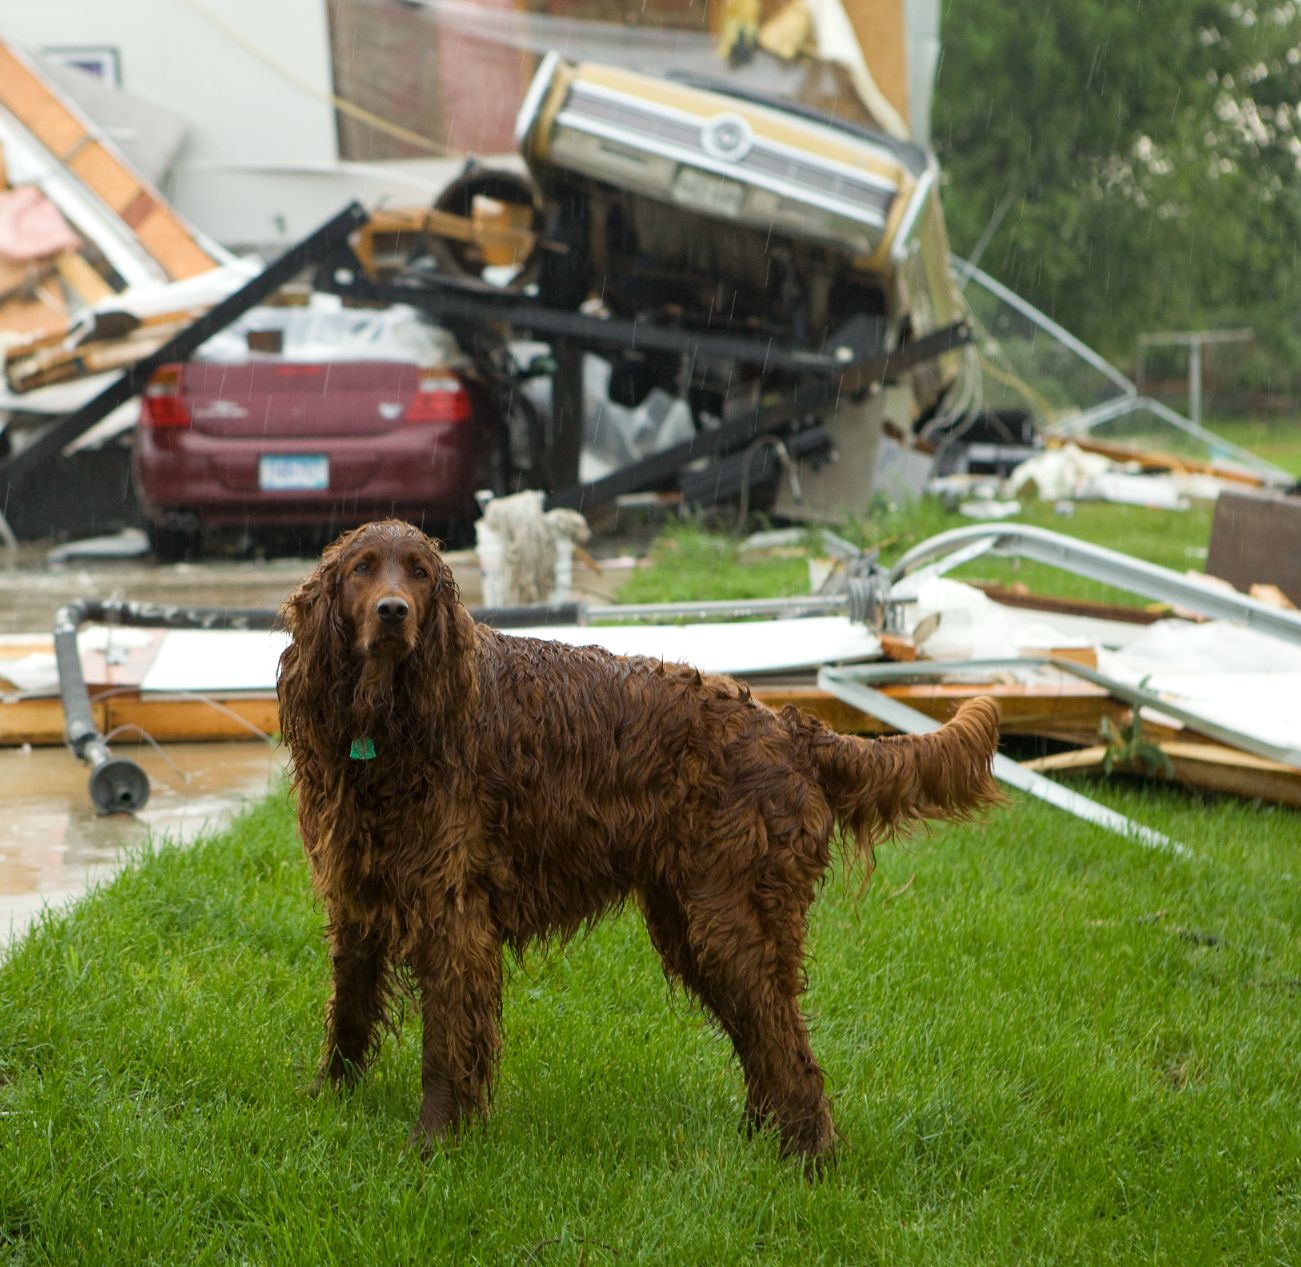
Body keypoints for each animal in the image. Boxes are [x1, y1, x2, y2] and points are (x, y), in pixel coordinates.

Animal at [279, 520, 999, 1165]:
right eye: (362, 569)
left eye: (420, 573)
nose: (393, 611)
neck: (388, 732)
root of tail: (789, 728)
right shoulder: (356, 896)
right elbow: (349, 1013)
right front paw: (325, 1101)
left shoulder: (452, 916)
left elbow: (444, 1046)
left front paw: (432, 1144)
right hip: (694, 925)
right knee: (763, 1044)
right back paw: (759, 1143)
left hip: (732, 922)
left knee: (789, 1052)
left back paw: (807, 1162)